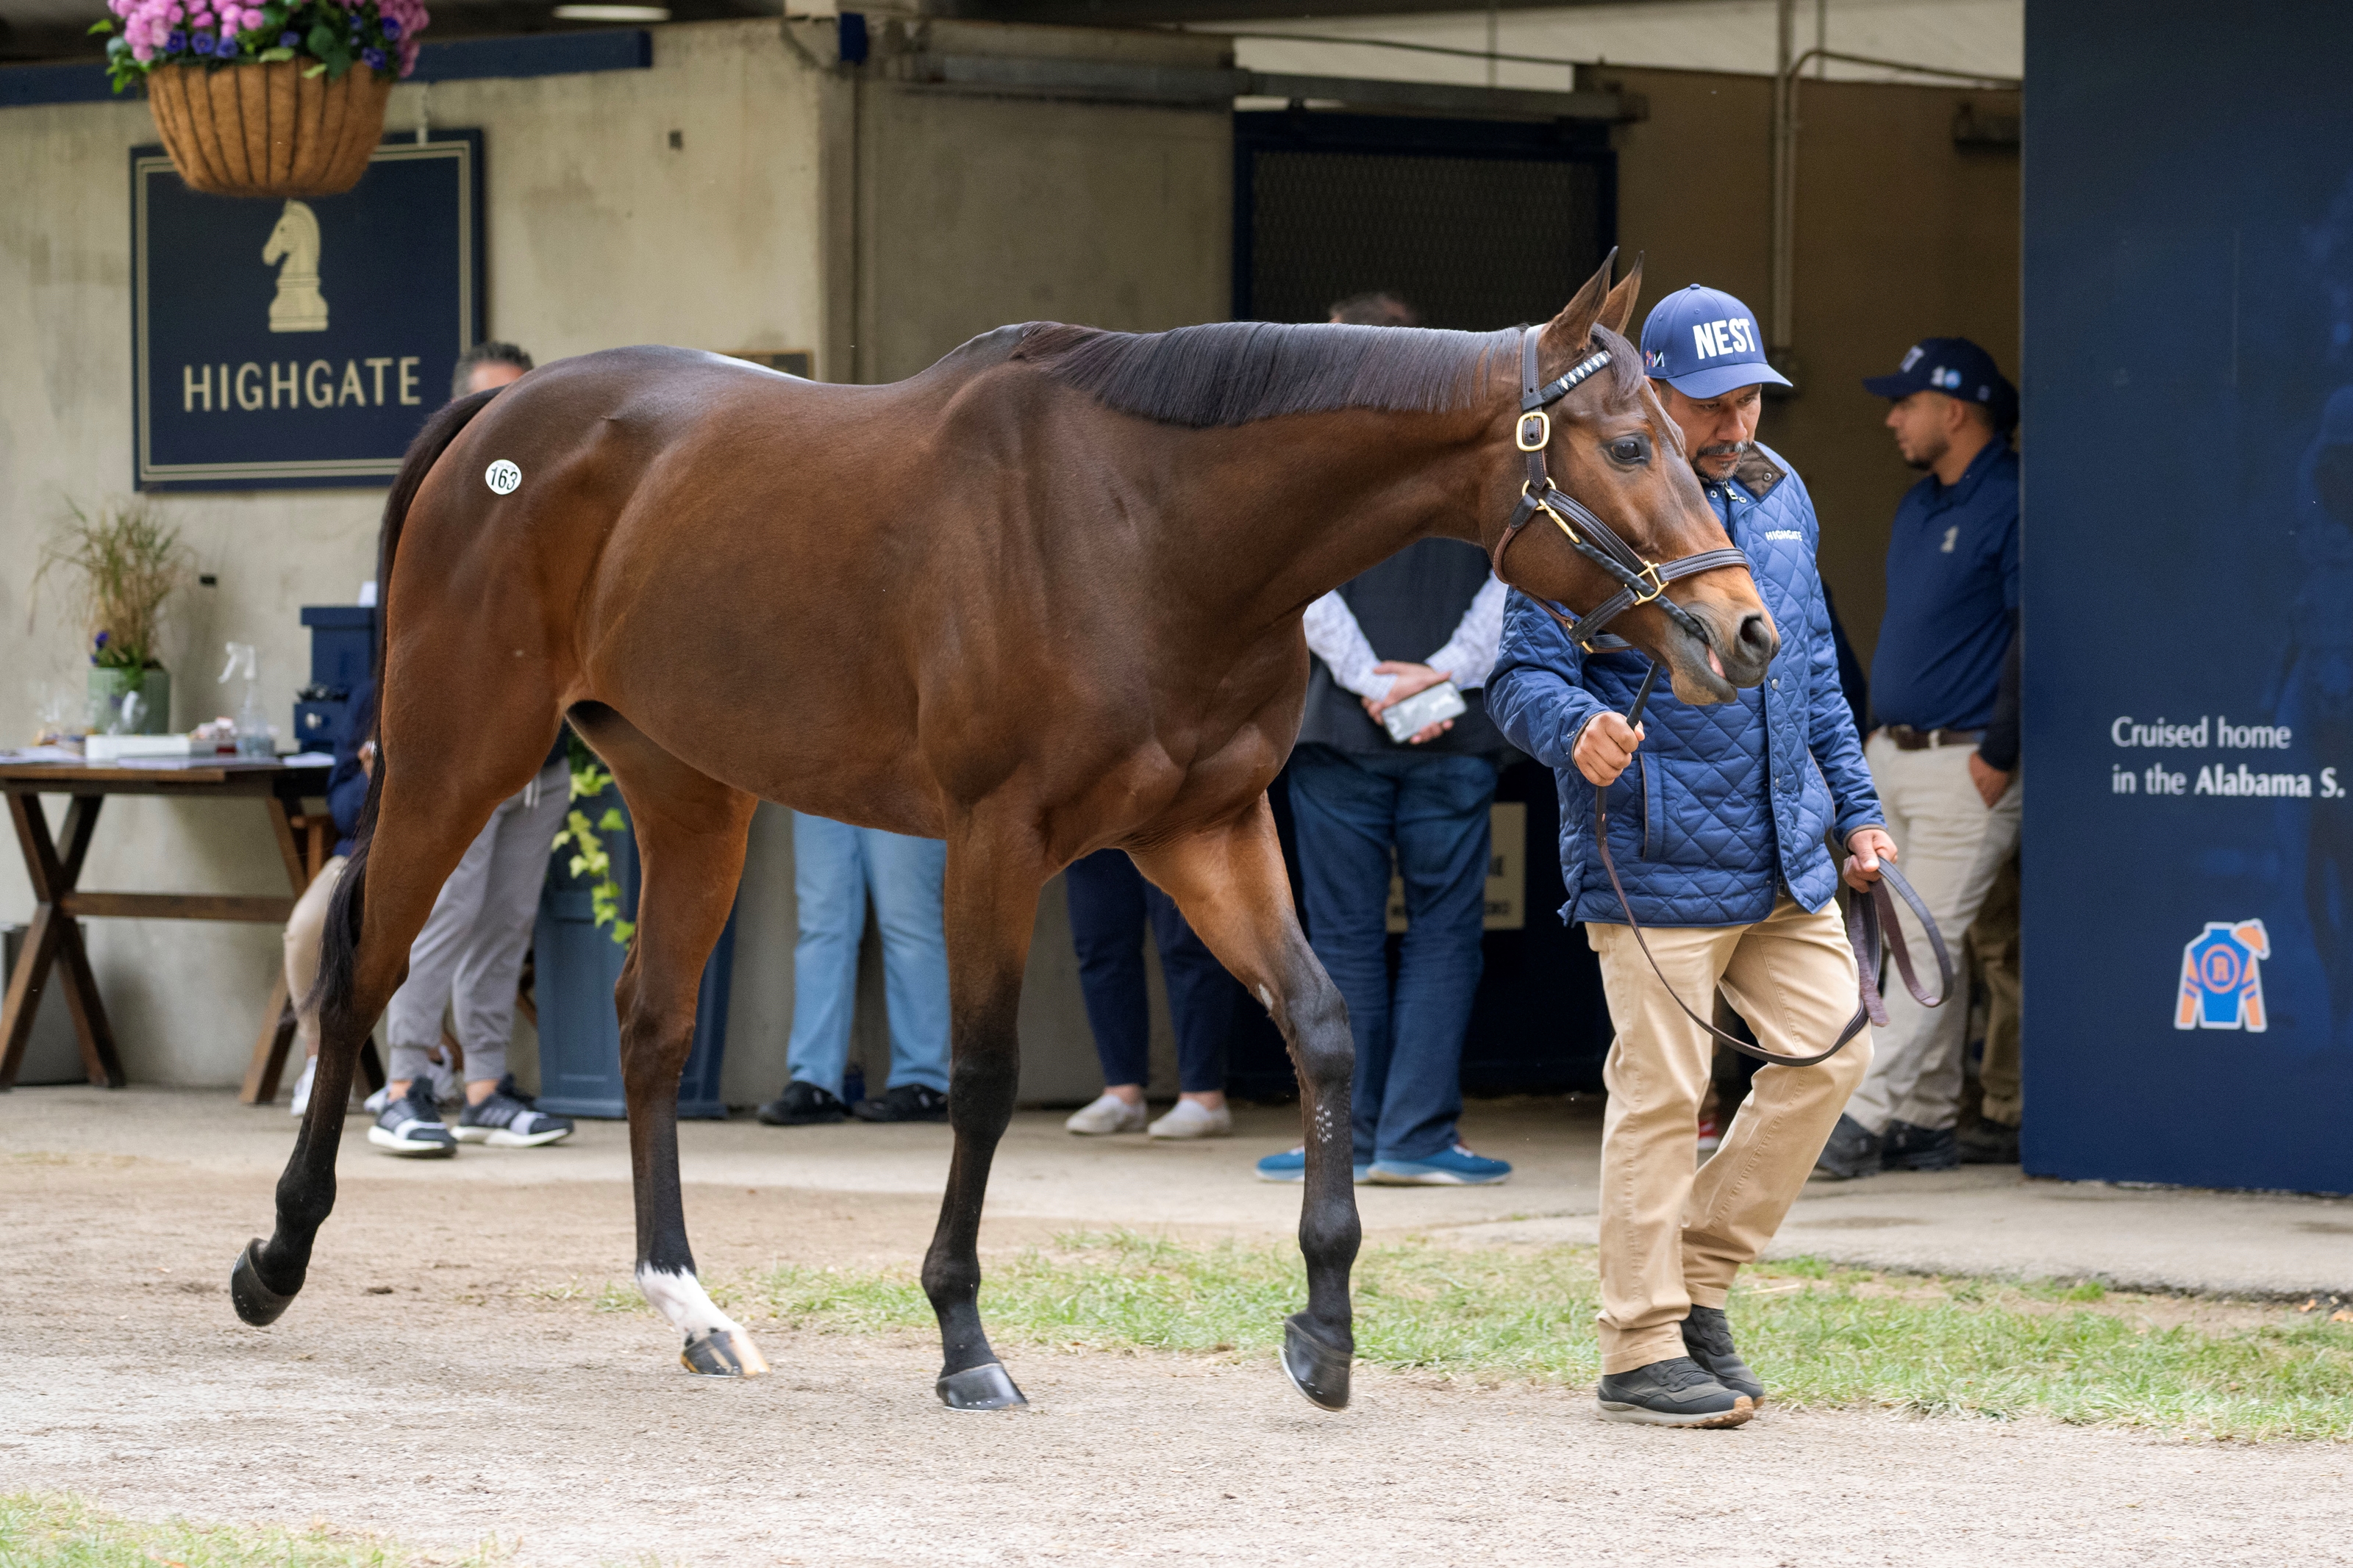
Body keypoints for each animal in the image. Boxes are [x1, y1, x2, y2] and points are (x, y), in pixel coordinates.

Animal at [243, 254, 1779, 1410]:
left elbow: (1327, 1026)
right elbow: (981, 1075)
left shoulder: (1206, 832)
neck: (1149, 525)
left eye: (1684, 444)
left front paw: (1324, 1329)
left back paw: (695, 1310)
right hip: (458, 757)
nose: (1746, 632)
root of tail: (496, 424)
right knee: (365, 976)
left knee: (650, 1024)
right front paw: (964, 1339)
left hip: (691, 791)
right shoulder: (996, 837)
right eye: (1629, 445)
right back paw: (277, 1256)